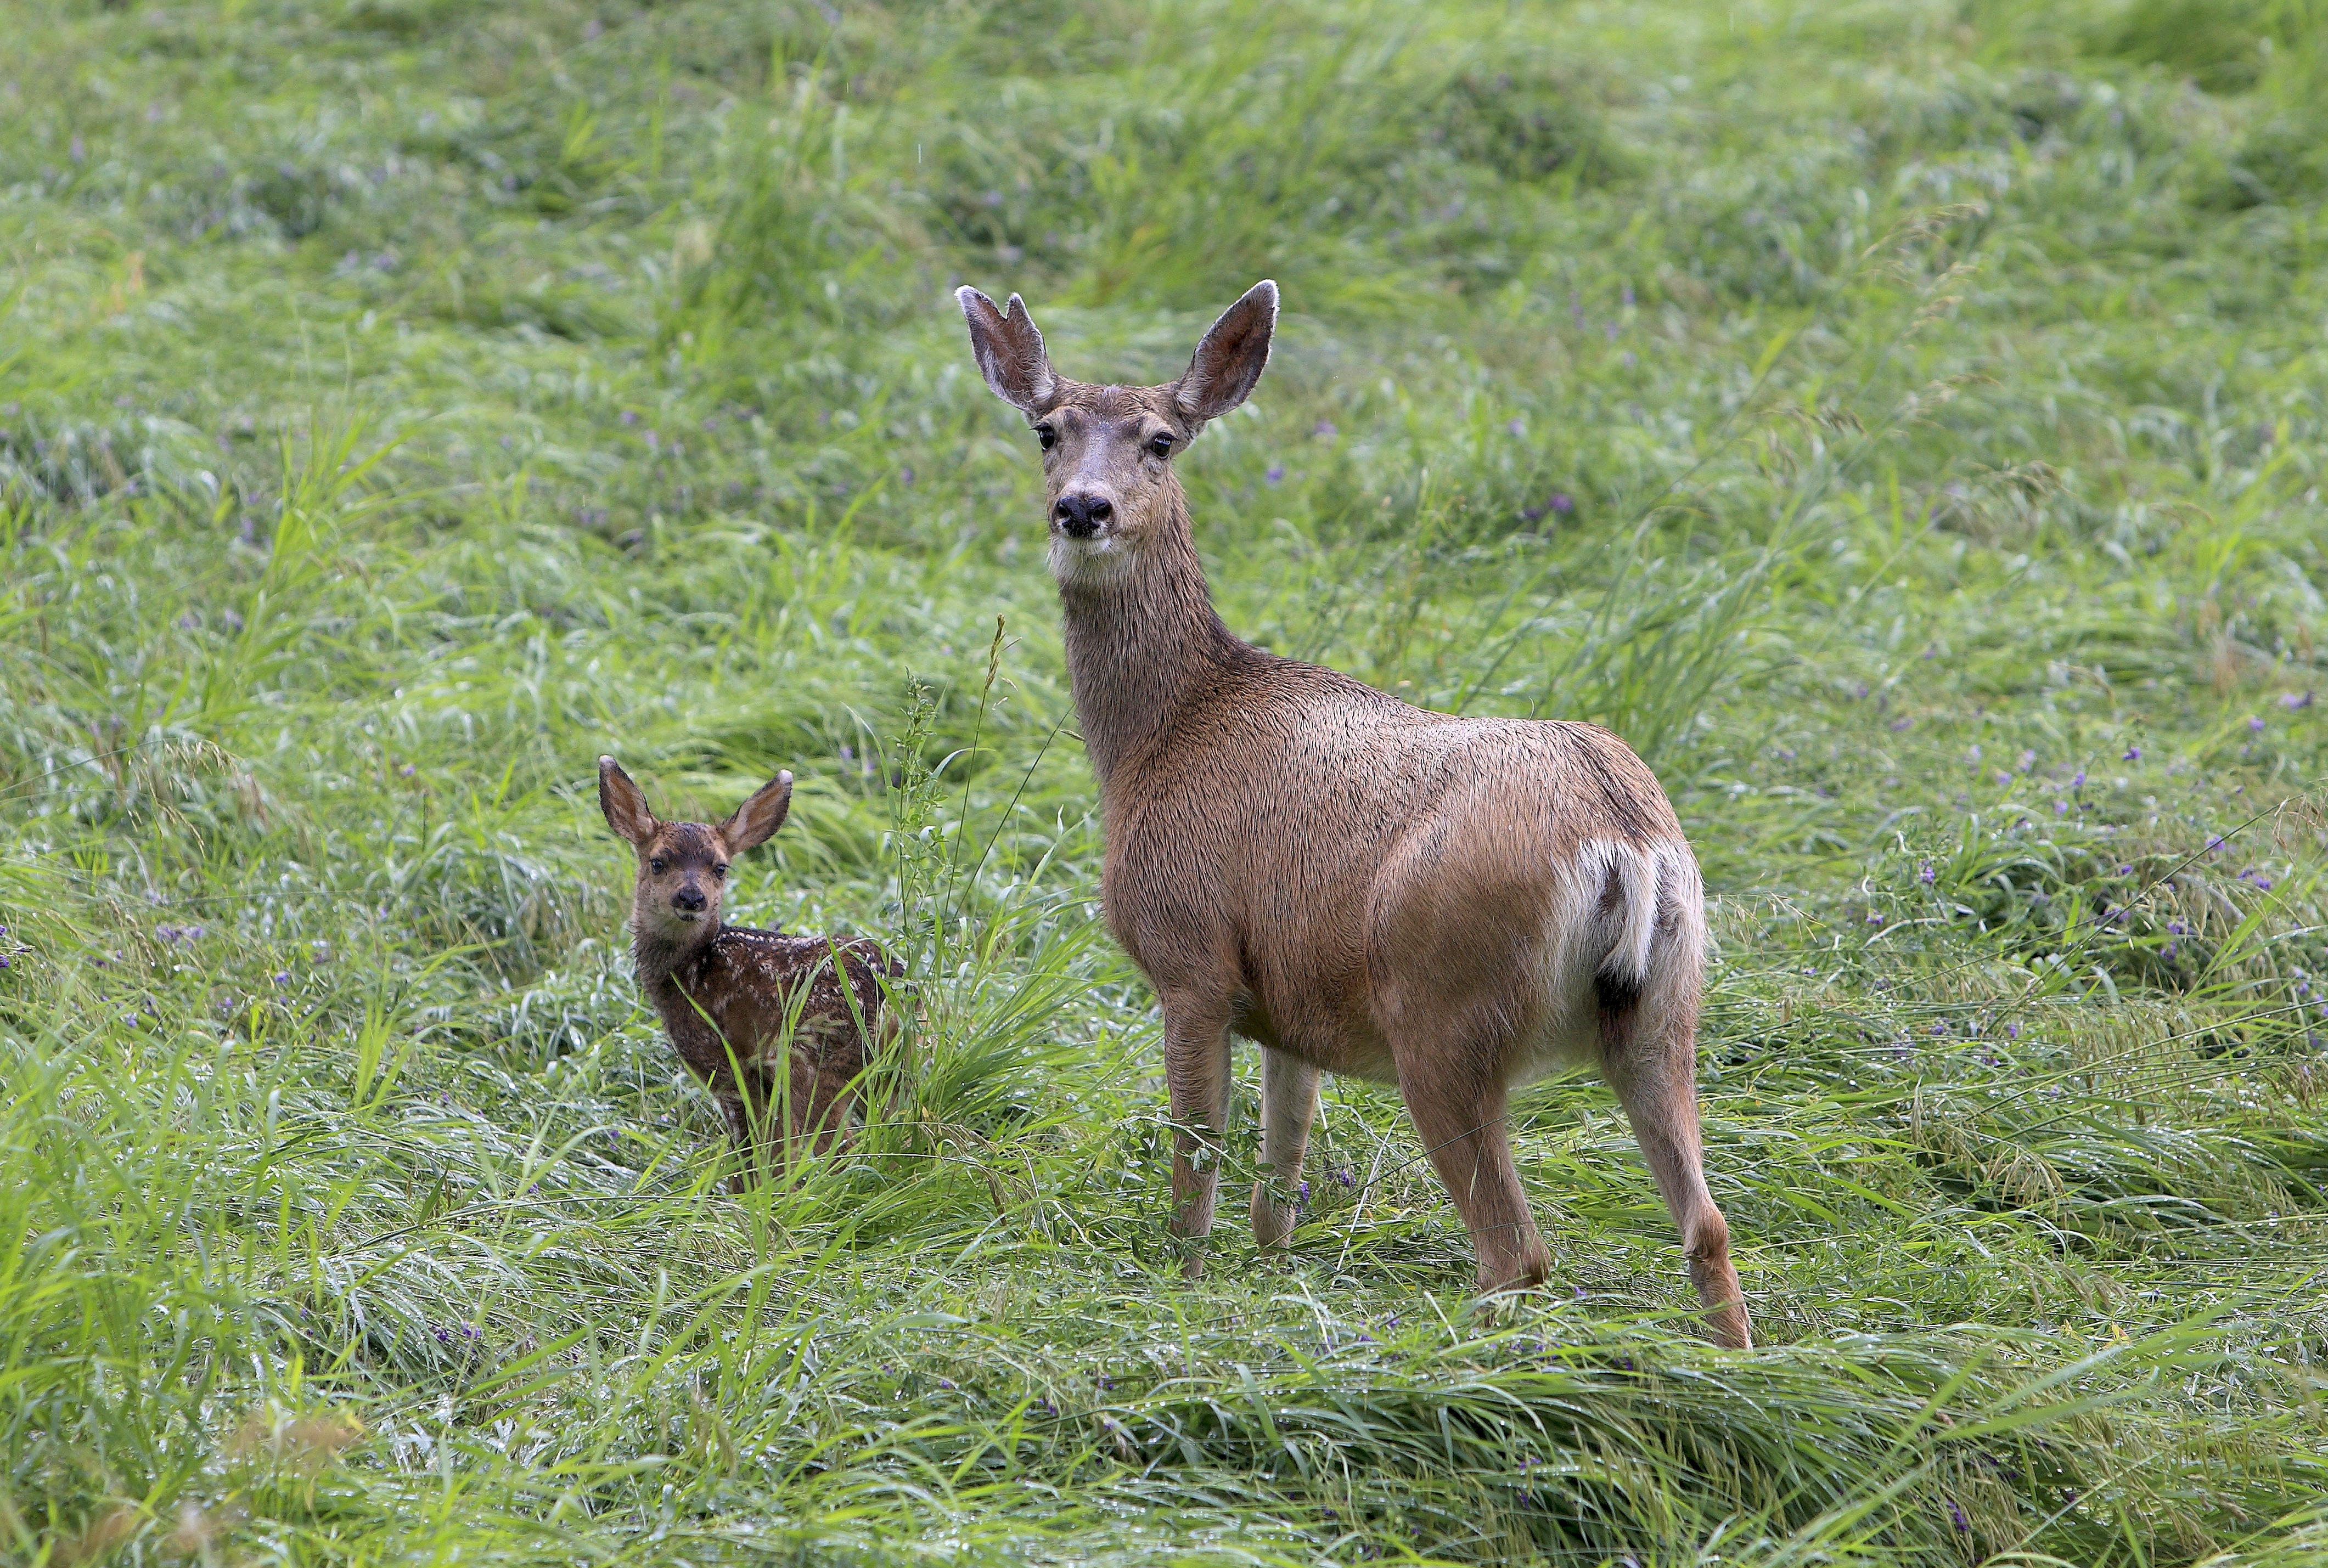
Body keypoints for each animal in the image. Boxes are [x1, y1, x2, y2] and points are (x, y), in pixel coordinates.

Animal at [597, 757, 903, 1189]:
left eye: (720, 868)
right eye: (658, 863)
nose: (691, 897)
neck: (690, 969)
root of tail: (894, 991)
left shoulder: (723, 1063)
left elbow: (751, 1149)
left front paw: (745, 1196)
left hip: (812, 1057)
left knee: (836, 1143)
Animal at [954, 280, 1750, 1347]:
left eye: (1161, 440)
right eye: (1047, 430)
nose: (1083, 506)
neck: (1158, 735)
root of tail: (1624, 837)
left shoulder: (1189, 956)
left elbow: (1197, 1164)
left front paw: (1182, 1286)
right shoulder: (1291, 1010)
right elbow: (1276, 1184)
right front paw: (1267, 1277)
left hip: (1443, 1009)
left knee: (1518, 1250)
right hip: (1667, 1009)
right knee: (1706, 1227)